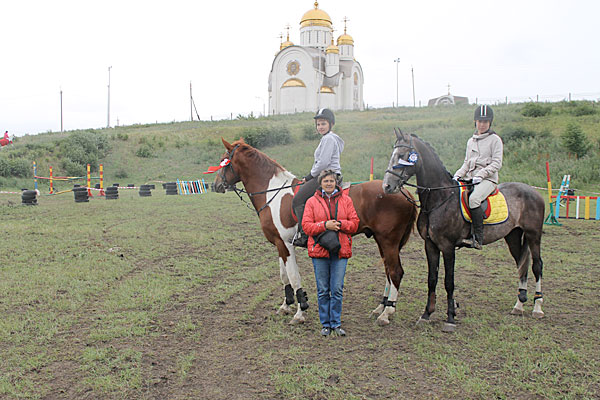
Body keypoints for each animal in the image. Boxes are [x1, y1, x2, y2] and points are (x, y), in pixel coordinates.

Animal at [212, 138, 418, 324]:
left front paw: (300, 311)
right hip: (382, 241)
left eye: (224, 160)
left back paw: (387, 313)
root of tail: (403, 191)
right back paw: (381, 307)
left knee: (395, 272)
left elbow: (294, 276)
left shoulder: (286, 244)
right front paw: (286, 305)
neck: (273, 193)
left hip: (388, 241)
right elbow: (284, 276)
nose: (215, 185)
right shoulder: (279, 243)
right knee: (388, 271)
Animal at [382, 128, 548, 332]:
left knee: (537, 266)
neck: (440, 199)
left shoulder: (448, 247)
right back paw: (518, 306)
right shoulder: (430, 245)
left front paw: (450, 318)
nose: (387, 186)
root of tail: (533, 191)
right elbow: (432, 279)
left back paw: (537, 308)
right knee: (521, 264)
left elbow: (449, 282)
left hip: (533, 235)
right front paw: (427, 314)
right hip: (513, 236)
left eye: (404, 156)